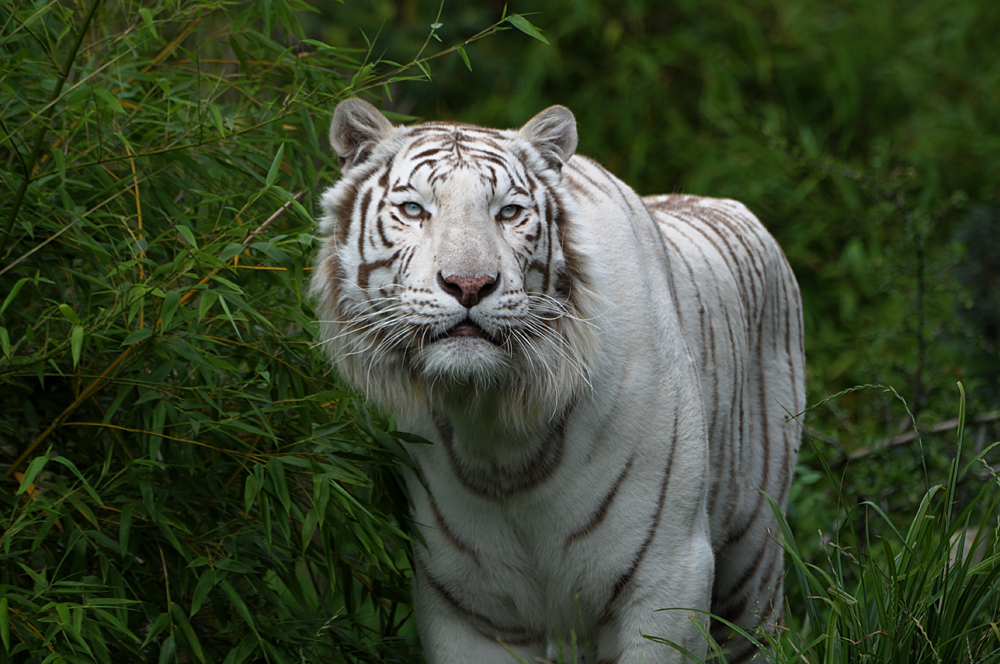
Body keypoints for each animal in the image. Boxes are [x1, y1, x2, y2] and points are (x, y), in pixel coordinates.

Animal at [310, 100, 804, 664]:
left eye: (508, 213)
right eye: (414, 210)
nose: (469, 284)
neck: (497, 433)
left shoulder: (669, 574)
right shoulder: (464, 602)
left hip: (753, 564)